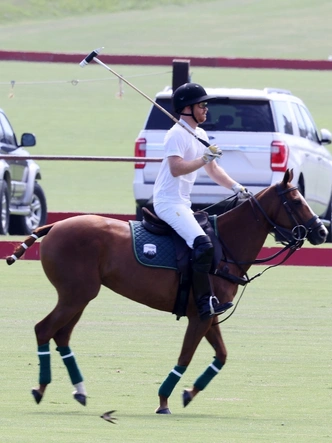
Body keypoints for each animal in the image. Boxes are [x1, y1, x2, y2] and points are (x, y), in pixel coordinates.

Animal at [5, 170, 326, 412]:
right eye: (296, 200)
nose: (322, 232)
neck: (225, 247)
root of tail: (54, 225)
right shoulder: (199, 316)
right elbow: (185, 356)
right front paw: (163, 401)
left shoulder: (209, 314)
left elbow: (221, 355)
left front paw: (188, 393)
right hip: (75, 295)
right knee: (44, 329)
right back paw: (41, 388)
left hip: (80, 297)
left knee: (61, 335)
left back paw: (79, 390)